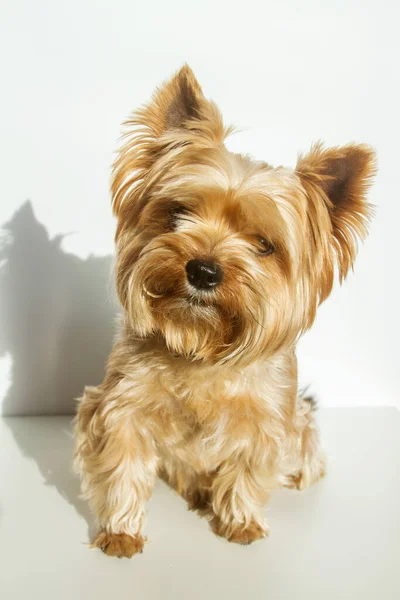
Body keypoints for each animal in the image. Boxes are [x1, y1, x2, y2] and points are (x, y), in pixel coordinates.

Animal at [73, 65, 376, 556]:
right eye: (178, 213)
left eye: (264, 245)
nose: (203, 270)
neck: (201, 343)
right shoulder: (121, 405)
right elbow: (123, 466)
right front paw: (120, 530)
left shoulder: (268, 422)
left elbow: (248, 472)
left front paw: (241, 522)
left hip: (303, 427)